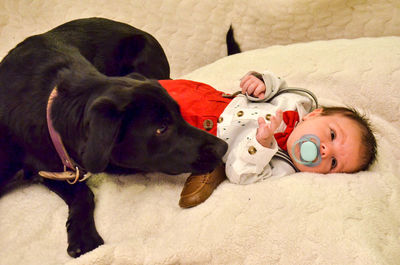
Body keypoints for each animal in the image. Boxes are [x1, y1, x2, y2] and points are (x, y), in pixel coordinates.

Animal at [0, 17, 227, 256]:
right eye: (161, 128)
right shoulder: (51, 169)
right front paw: (83, 235)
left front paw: (82, 234)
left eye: (179, 114)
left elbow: (84, 192)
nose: (223, 147)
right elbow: (82, 192)